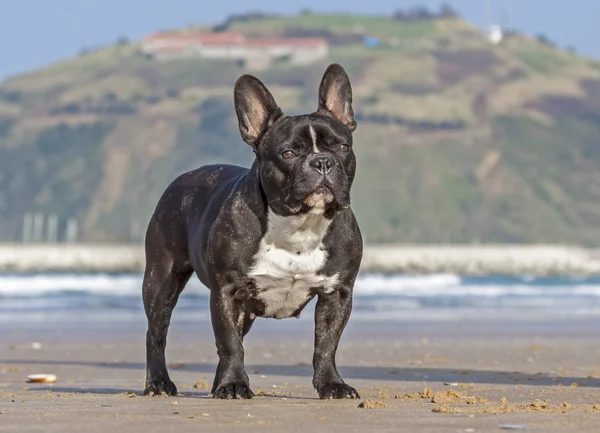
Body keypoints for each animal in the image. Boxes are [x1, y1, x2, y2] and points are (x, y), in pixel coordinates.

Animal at [143, 63, 364, 398]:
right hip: (161, 280)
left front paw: (332, 384)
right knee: (156, 332)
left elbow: (326, 345)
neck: (298, 225)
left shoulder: (336, 293)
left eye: (342, 147)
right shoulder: (227, 291)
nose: (322, 161)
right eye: (288, 154)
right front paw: (234, 384)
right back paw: (159, 383)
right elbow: (229, 343)